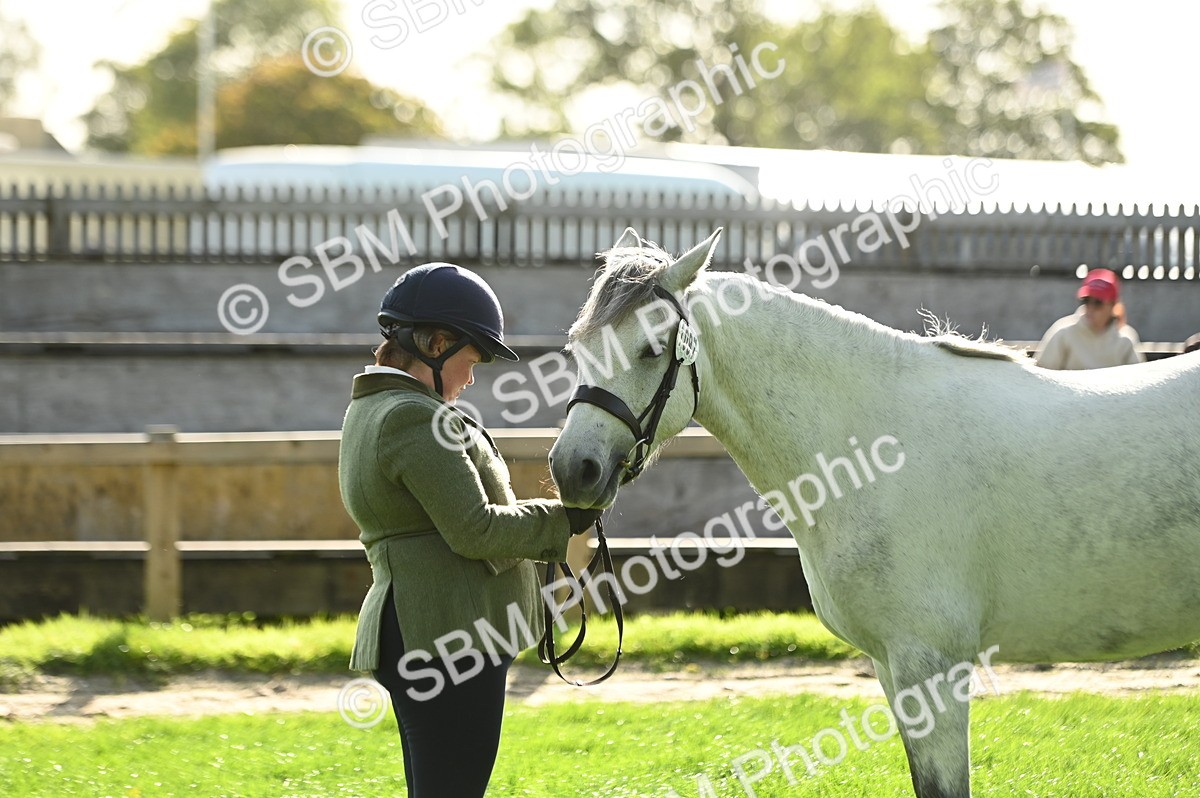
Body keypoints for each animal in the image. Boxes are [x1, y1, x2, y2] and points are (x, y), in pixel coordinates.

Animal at [548, 227, 1200, 798]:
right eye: (577, 347)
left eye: (653, 347)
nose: (573, 468)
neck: (875, 450)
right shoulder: (893, 668)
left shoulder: (930, 667)